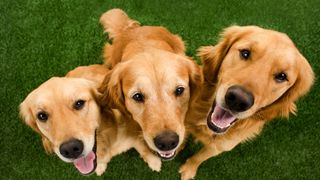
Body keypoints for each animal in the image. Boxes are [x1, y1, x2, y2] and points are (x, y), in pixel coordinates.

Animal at [18, 64, 161, 176]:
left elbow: (143, 148)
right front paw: (100, 167)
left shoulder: (134, 134)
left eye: (79, 103)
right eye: (42, 115)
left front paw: (154, 161)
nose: (70, 149)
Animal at [180, 26, 316, 179]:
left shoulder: (220, 147)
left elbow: (199, 157)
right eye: (245, 53)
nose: (238, 99)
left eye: (282, 76)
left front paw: (189, 169)